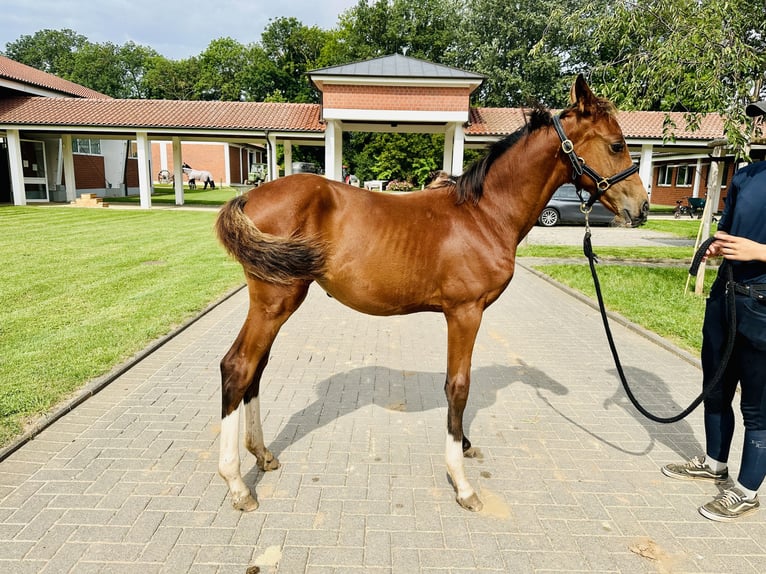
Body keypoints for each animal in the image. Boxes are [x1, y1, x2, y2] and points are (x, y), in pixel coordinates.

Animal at [214, 75, 648, 512]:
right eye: (616, 145)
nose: (641, 207)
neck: (485, 214)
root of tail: (248, 196)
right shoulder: (465, 312)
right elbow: (458, 386)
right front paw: (462, 482)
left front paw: (465, 444)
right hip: (276, 300)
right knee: (238, 367)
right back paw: (236, 483)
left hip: (275, 303)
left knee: (255, 370)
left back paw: (263, 454)